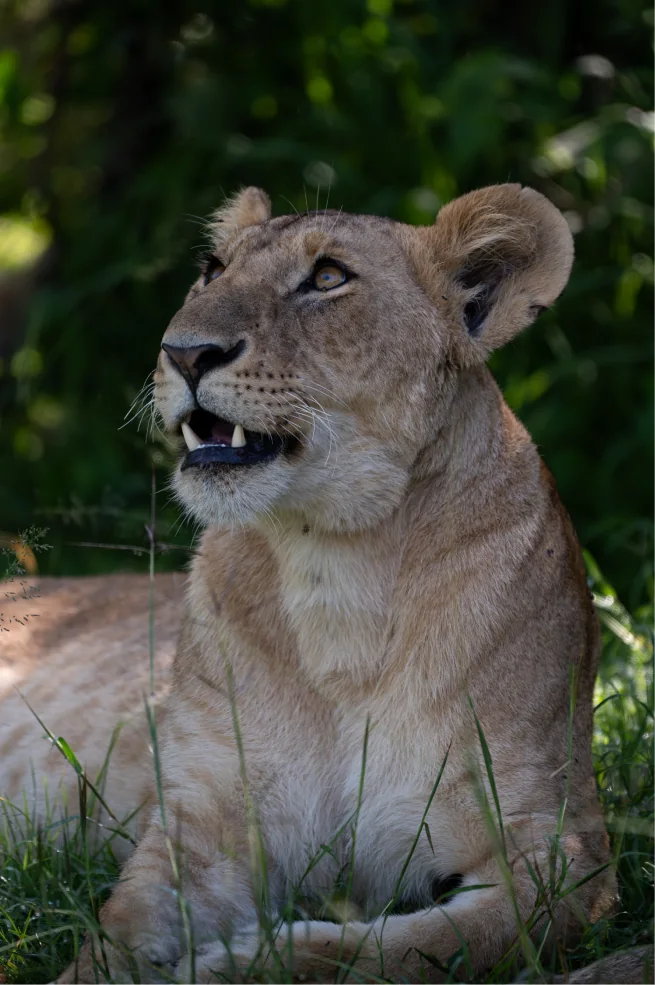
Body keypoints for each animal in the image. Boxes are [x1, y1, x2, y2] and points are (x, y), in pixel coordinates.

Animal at [2, 184, 651, 984]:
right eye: (212, 270)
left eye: (328, 277)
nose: (183, 352)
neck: (336, 569)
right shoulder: (203, 826)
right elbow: (113, 938)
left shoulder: (560, 852)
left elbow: (414, 947)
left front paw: (232, 962)